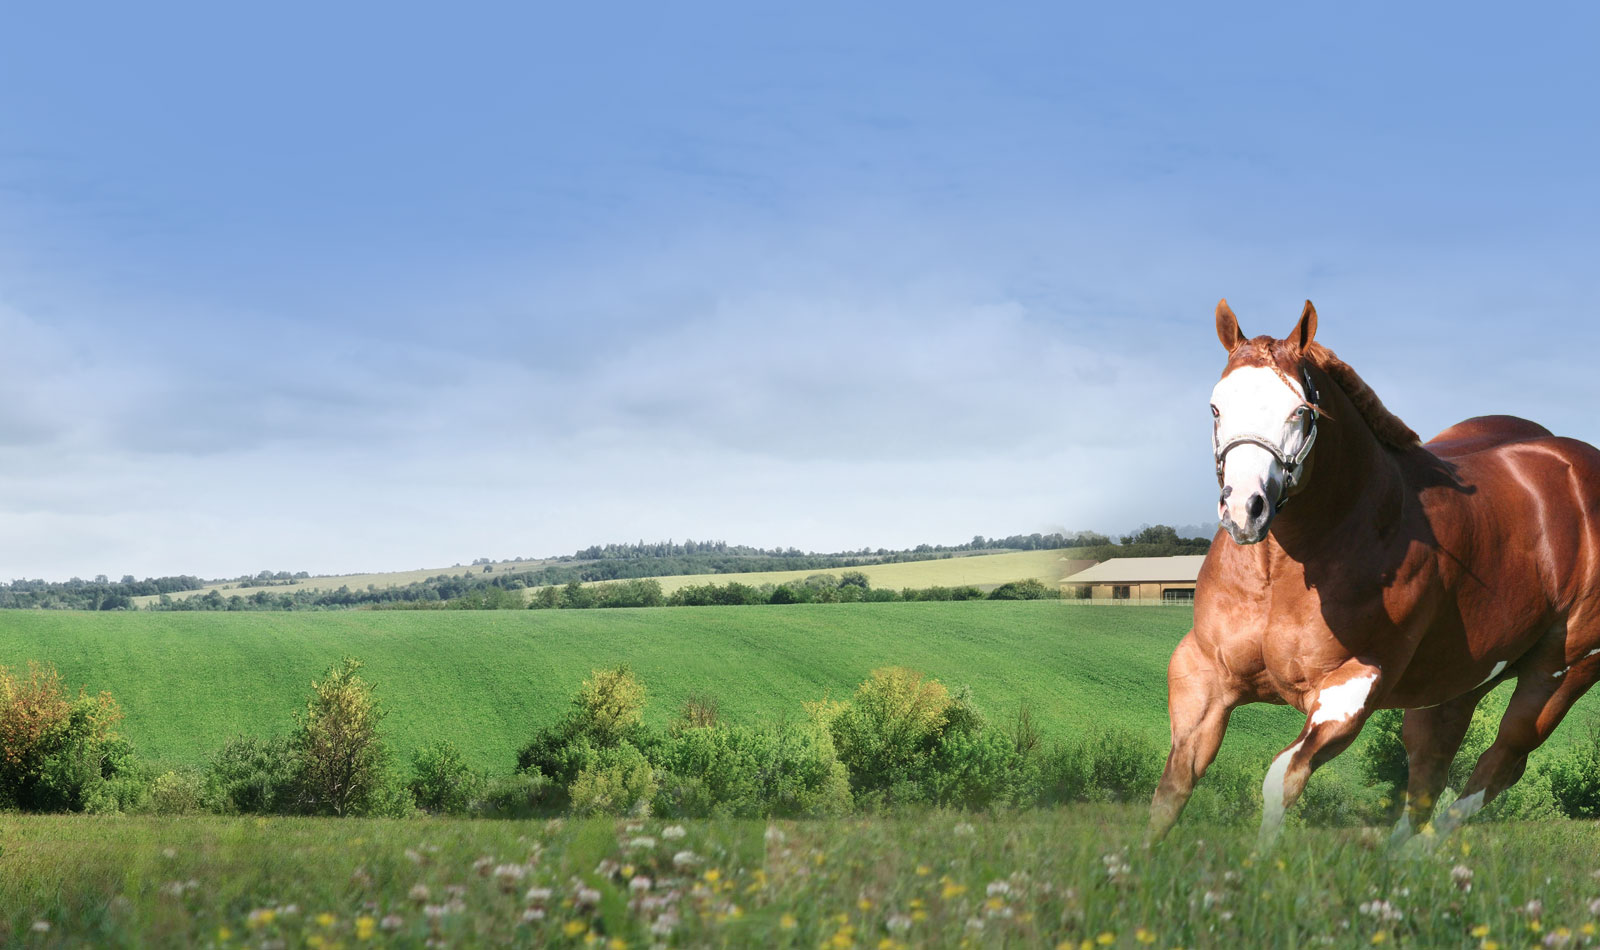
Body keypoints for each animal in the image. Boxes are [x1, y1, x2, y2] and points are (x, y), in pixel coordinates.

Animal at [1147, 299, 1600, 851]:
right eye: (1216, 406)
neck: (1285, 572)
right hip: (1456, 681)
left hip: (1562, 673)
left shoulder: (1351, 686)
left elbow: (1281, 778)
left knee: (1500, 764)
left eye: (1301, 410)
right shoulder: (1204, 675)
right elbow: (1174, 786)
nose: (1244, 510)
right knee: (1430, 767)